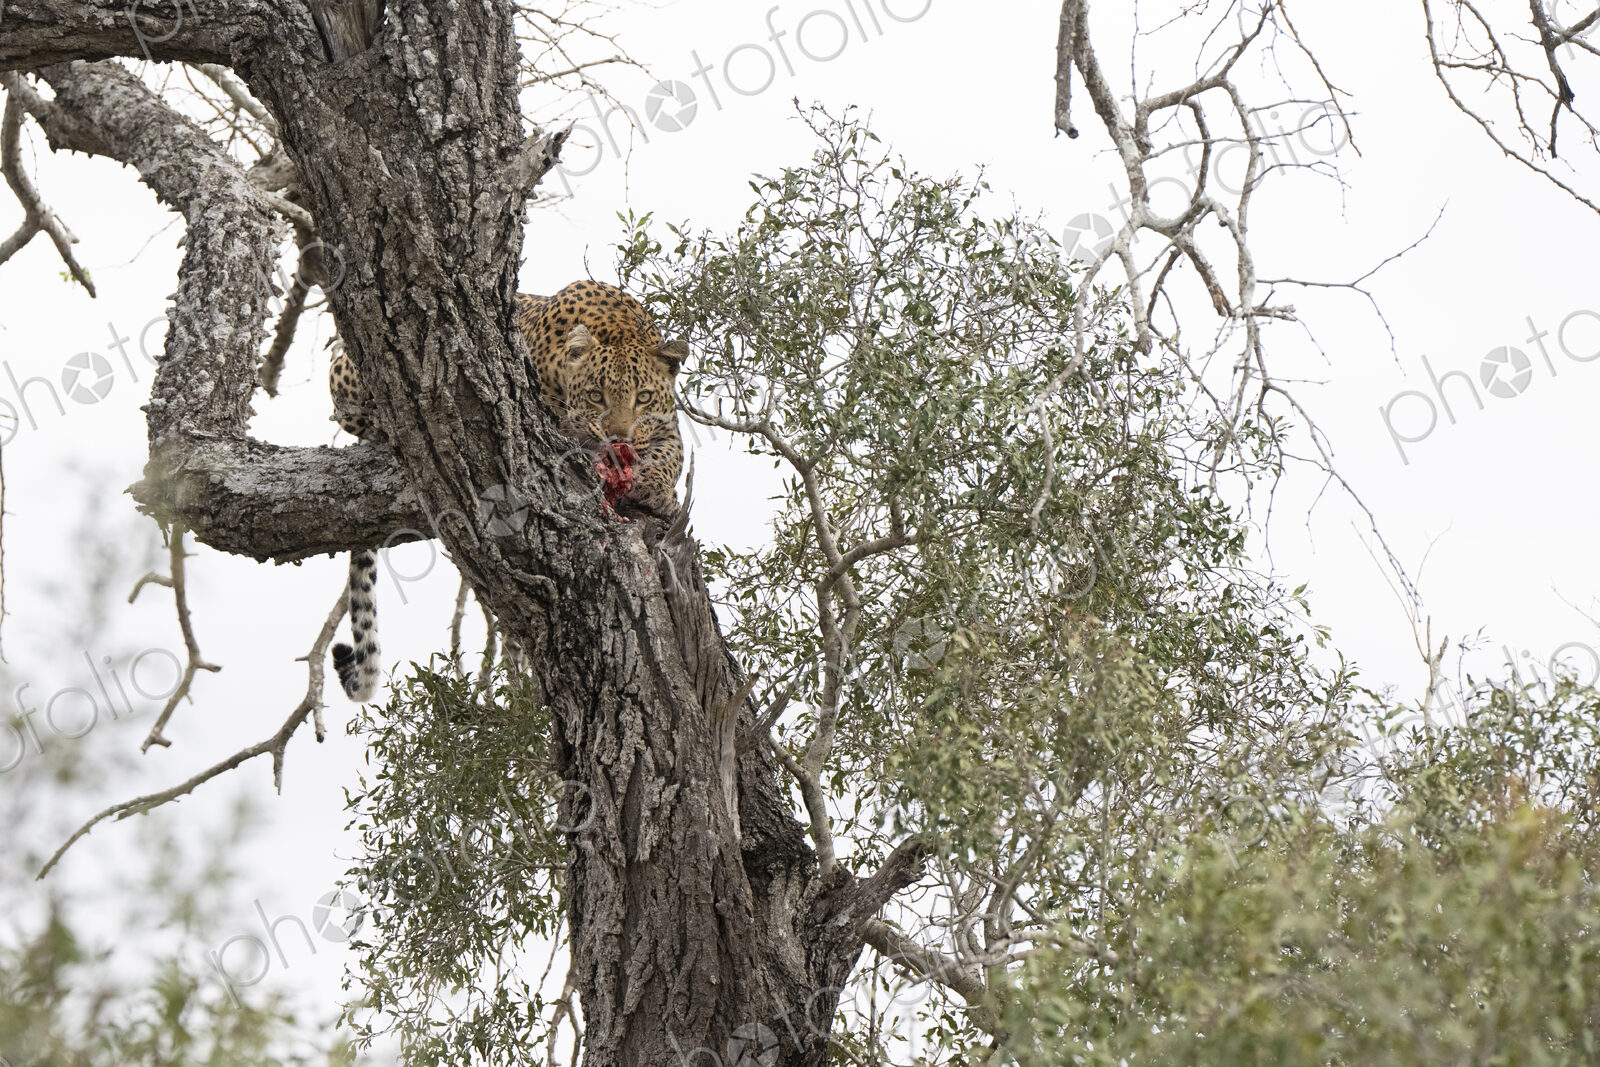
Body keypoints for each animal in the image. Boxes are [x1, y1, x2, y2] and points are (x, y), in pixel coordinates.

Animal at [327, 280, 687, 701]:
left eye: (643, 397)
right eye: (596, 395)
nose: (619, 440)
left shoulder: (669, 428)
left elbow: (669, 458)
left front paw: (657, 489)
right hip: (345, 375)